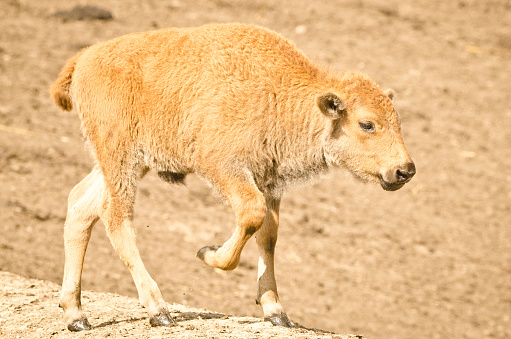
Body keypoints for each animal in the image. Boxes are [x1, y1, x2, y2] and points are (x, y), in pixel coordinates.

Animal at [49, 22, 416, 330]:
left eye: (397, 121)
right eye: (367, 124)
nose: (405, 170)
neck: (279, 94)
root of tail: (85, 57)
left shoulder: (269, 183)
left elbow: (268, 236)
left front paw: (276, 311)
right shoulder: (223, 167)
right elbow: (251, 216)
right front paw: (207, 253)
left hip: (131, 161)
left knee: (81, 205)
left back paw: (76, 315)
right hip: (120, 156)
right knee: (115, 216)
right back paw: (159, 310)